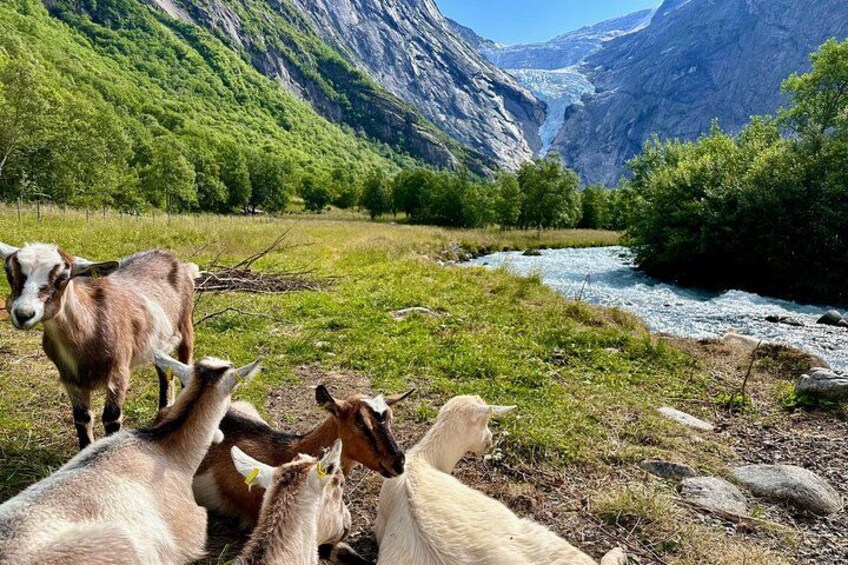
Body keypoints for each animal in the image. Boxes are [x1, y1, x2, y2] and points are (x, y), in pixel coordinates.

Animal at [0, 241, 197, 449]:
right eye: (9, 272)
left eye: (63, 278)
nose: (23, 314)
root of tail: (174, 259)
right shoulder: (70, 379)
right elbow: (82, 419)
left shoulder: (119, 372)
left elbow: (112, 419)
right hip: (157, 345)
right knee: (164, 374)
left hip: (186, 325)